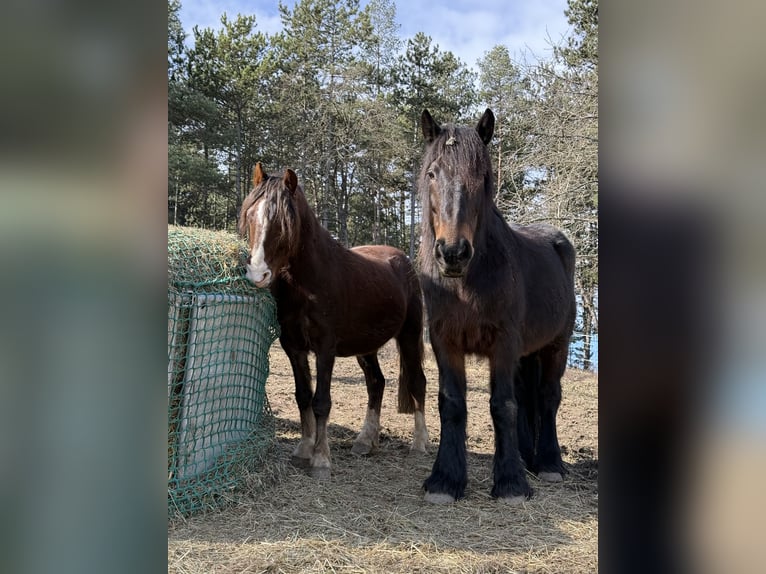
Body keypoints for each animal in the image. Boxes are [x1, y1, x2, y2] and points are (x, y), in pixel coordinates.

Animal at [238, 163, 429, 478]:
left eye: (284, 222)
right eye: (251, 216)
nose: (258, 275)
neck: (307, 283)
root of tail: (402, 260)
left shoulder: (325, 347)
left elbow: (321, 402)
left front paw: (321, 459)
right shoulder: (293, 347)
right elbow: (303, 395)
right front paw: (304, 449)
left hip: (410, 335)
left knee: (417, 383)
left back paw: (419, 444)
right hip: (366, 347)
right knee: (376, 383)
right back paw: (365, 441)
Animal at [417, 108, 576, 503]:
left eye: (483, 176)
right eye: (432, 173)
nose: (453, 253)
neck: (466, 284)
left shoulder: (503, 344)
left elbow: (502, 405)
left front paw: (510, 484)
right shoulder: (444, 342)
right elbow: (452, 403)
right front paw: (445, 480)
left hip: (557, 345)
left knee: (547, 397)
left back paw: (548, 464)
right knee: (527, 397)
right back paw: (526, 457)